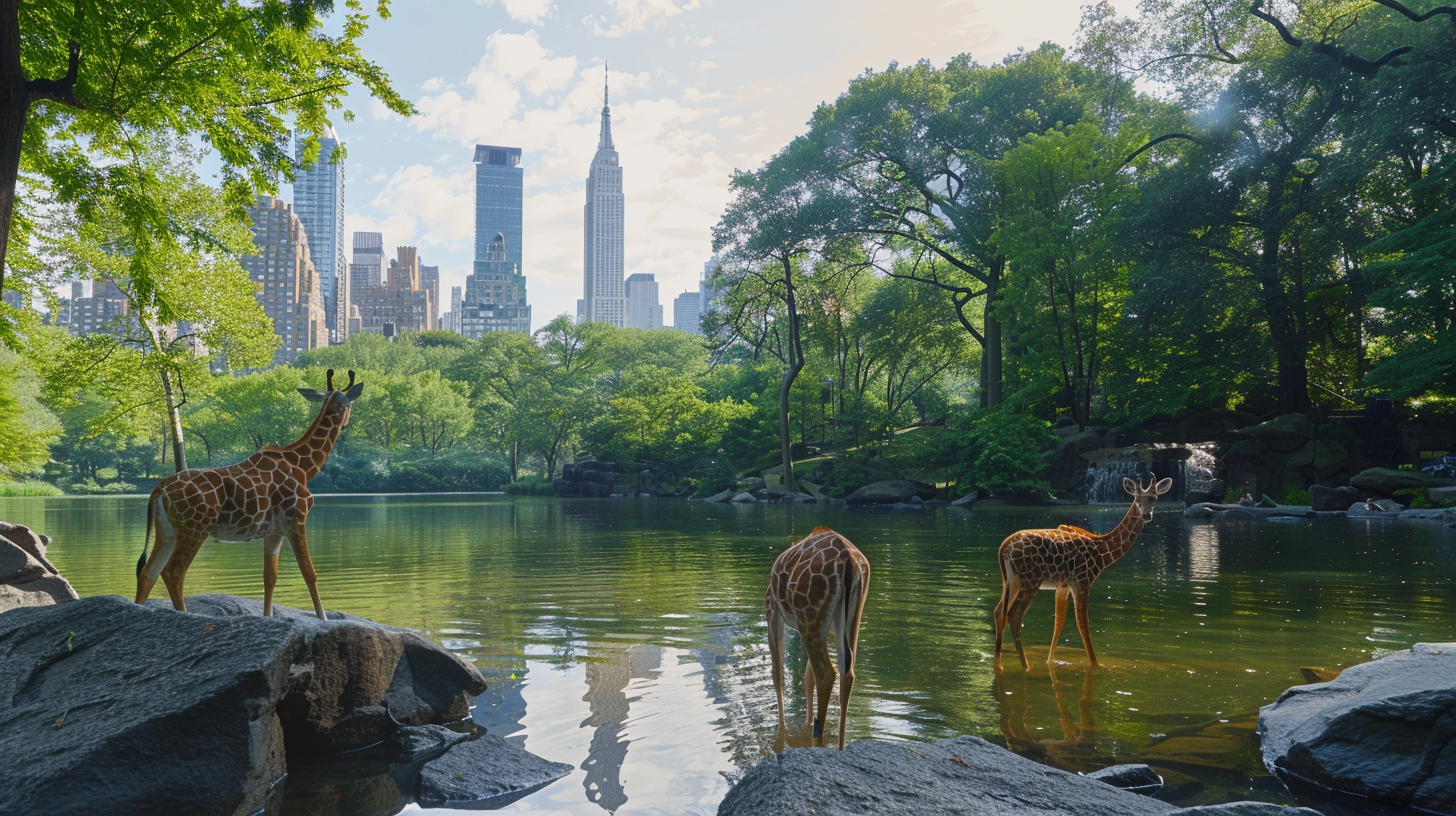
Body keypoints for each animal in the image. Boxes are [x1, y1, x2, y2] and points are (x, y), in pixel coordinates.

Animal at [135, 370, 364, 617]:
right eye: (349, 403)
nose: (348, 422)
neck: (305, 467)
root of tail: (159, 490)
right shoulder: (297, 518)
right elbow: (309, 573)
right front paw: (323, 618)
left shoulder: (274, 531)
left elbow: (270, 577)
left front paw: (268, 617)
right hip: (194, 528)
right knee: (173, 572)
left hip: (166, 531)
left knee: (148, 572)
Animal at [768, 524, 867, 751]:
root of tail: (849, 562)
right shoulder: (828, 630)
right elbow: (806, 675)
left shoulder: (772, 608)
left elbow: (778, 672)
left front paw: (780, 738)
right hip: (850, 616)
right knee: (847, 671)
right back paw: (839, 747)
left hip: (809, 615)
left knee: (826, 673)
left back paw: (818, 742)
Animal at [990, 477, 1170, 670]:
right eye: (1137, 498)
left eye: (1154, 498)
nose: (1147, 515)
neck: (1104, 554)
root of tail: (1004, 548)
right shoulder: (1083, 579)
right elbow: (1082, 623)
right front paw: (1096, 664)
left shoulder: (1062, 585)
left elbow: (1059, 623)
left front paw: (1049, 661)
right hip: (1031, 580)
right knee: (1014, 616)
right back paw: (1026, 666)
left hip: (1011, 581)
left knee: (999, 612)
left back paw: (998, 663)